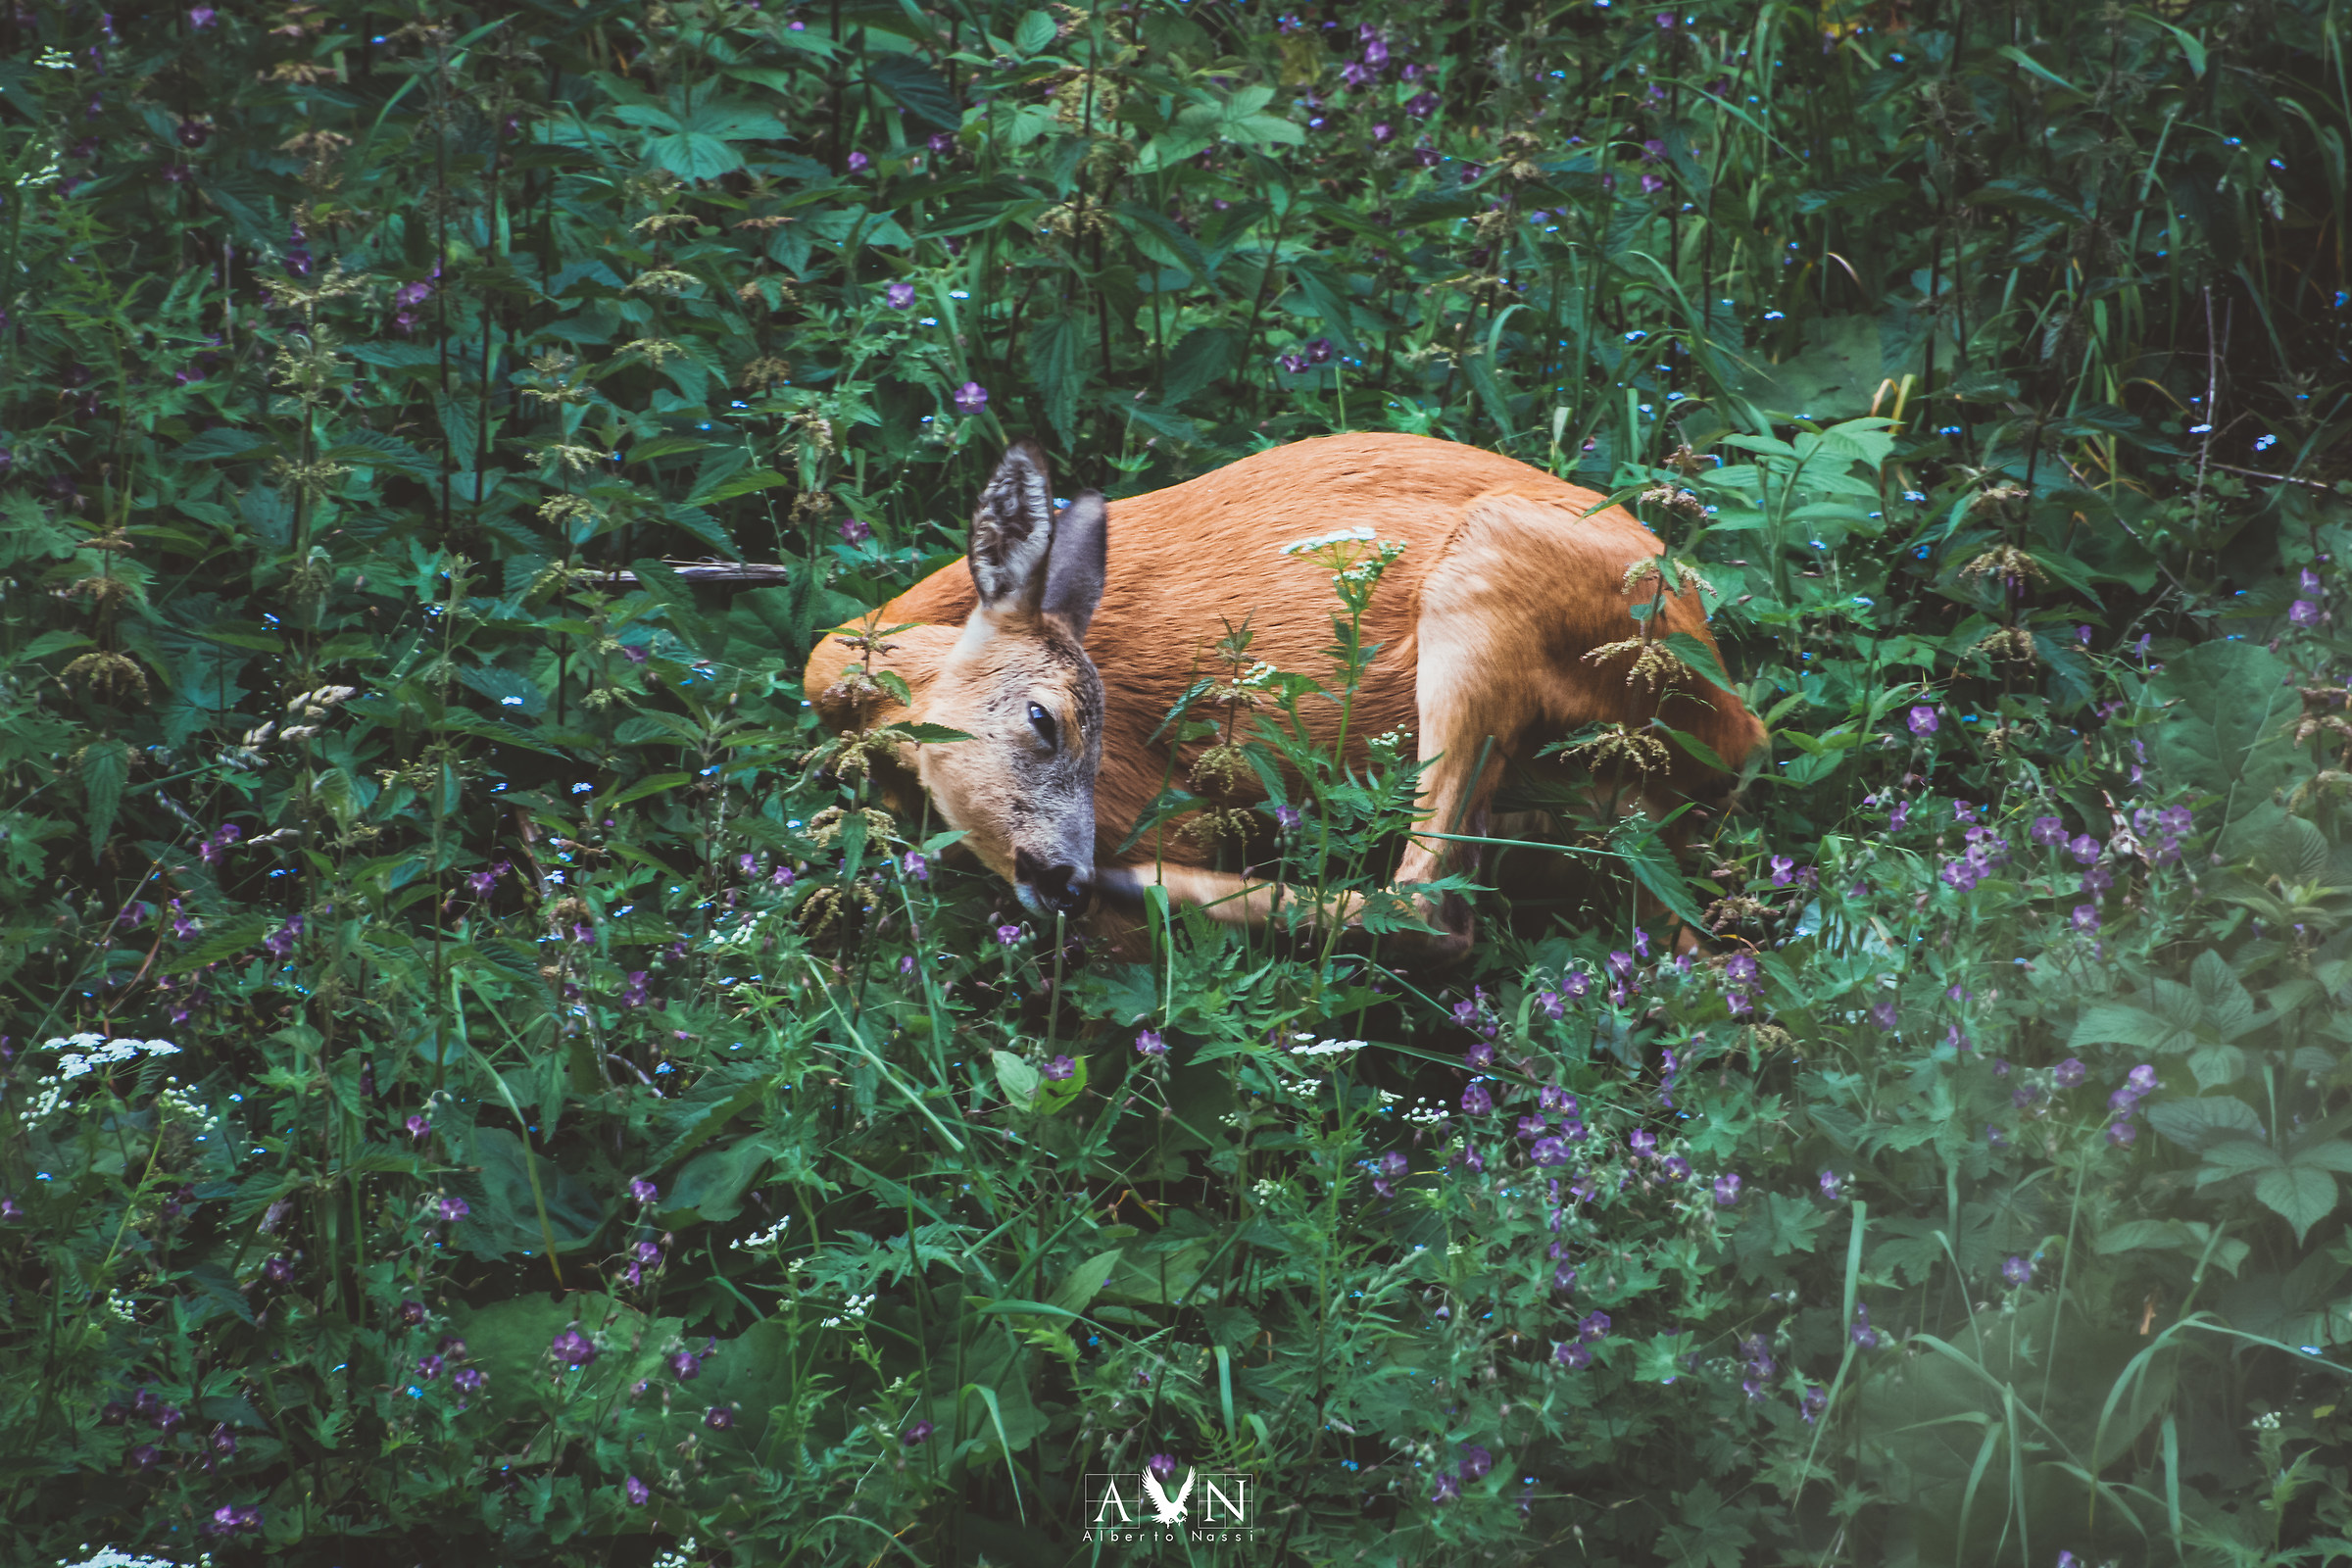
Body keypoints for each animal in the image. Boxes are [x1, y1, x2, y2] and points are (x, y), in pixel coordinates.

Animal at [803, 432, 1766, 961]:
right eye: (1043, 718)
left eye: (1067, 722)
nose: (1067, 880)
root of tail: (1736, 732)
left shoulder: (1154, 802)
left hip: (1489, 577)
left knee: (1429, 905)